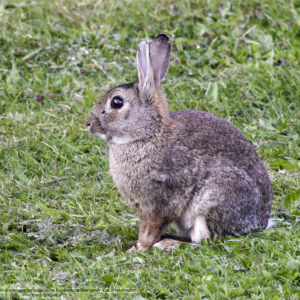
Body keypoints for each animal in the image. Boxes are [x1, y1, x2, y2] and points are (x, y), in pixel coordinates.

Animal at [85, 33, 274, 251]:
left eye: (117, 103)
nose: (88, 123)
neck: (148, 134)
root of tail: (258, 223)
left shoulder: (158, 201)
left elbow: (150, 228)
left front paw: (139, 248)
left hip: (213, 199)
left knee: (207, 241)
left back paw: (167, 244)